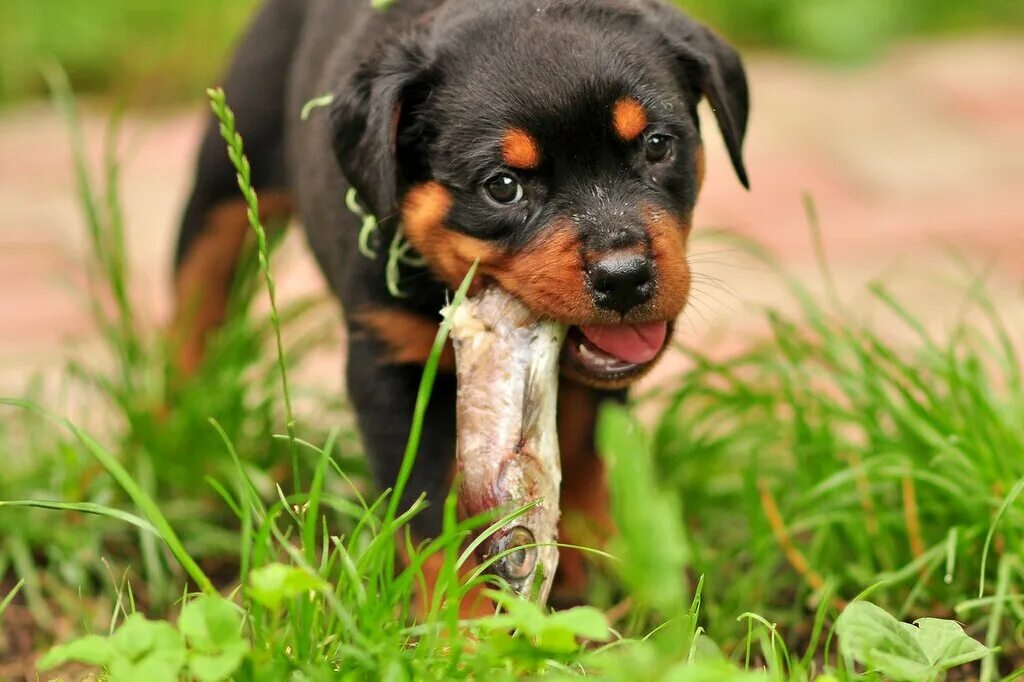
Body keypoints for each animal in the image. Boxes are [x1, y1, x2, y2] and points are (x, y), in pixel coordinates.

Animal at [172, 0, 749, 606]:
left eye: (657, 146)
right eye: (502, 187)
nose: (623, 277)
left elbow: (588, 455)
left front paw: (608, 561)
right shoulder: (389, 367)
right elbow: (430, 518)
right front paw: (459, 620)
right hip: (230, 167)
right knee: (194, 298)